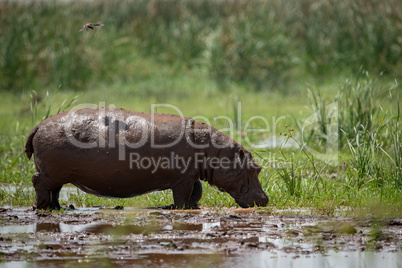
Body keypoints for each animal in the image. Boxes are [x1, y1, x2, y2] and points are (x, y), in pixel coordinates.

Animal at [25, 107, 270, 209]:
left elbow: (196, 191)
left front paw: (192, 206)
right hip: (52, 172)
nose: (266, 199)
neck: (213, 152)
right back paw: (44, 207)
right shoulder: (183, 178)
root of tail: (38, 125)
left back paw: (58, 207)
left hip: (58, 174)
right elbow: (184, 194)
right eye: (255, 168)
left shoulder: (190, 174)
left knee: (54, 189)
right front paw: (181, 208)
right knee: (38, 182)